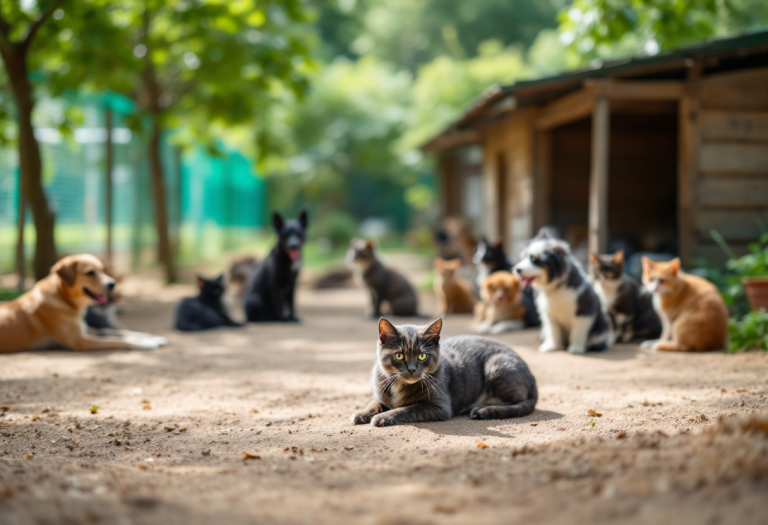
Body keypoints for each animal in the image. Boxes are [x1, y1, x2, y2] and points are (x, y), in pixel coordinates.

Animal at [0, 254, 167, 352]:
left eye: (102, 270)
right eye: (90, 273)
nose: (112, 284)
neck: (65, 300)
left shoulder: (88, 330)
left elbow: (119, 333)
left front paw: (149, 337)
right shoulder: (80, 341)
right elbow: (117, 340)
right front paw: (145, 344)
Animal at [352, 316, 536, 426]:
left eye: (422, 356)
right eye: (399, 355)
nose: (411, 370)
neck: (400, 384)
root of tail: (531, 375)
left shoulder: (439, 406)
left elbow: (408, 409)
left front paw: (383, 417)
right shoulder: (379, 393)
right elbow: (374, 402)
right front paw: (362, 413)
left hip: (497, 366)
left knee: (517, 402)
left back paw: (482, 409)